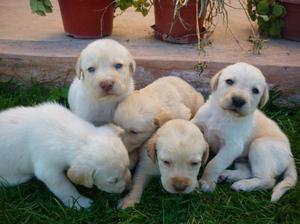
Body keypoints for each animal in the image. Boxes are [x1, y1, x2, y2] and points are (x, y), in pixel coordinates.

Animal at [0, 102, 131, 209]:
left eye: (127, 167)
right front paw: (80, 202)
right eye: (112, 181)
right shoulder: (48, 170)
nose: (127, 188)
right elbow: (66, 188)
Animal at [192, 61, 298, 201]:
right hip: (242, 159)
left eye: (255, 90)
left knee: (268, 180)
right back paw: (226, 175)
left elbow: (214, 164)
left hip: (260, 146)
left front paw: (207, 182)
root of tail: (290, 156)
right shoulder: (198, 123)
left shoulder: (232, 147)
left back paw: (242, 185)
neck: (223, 114)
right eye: (229, 81)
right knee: (247, 171)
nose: (238, 100)